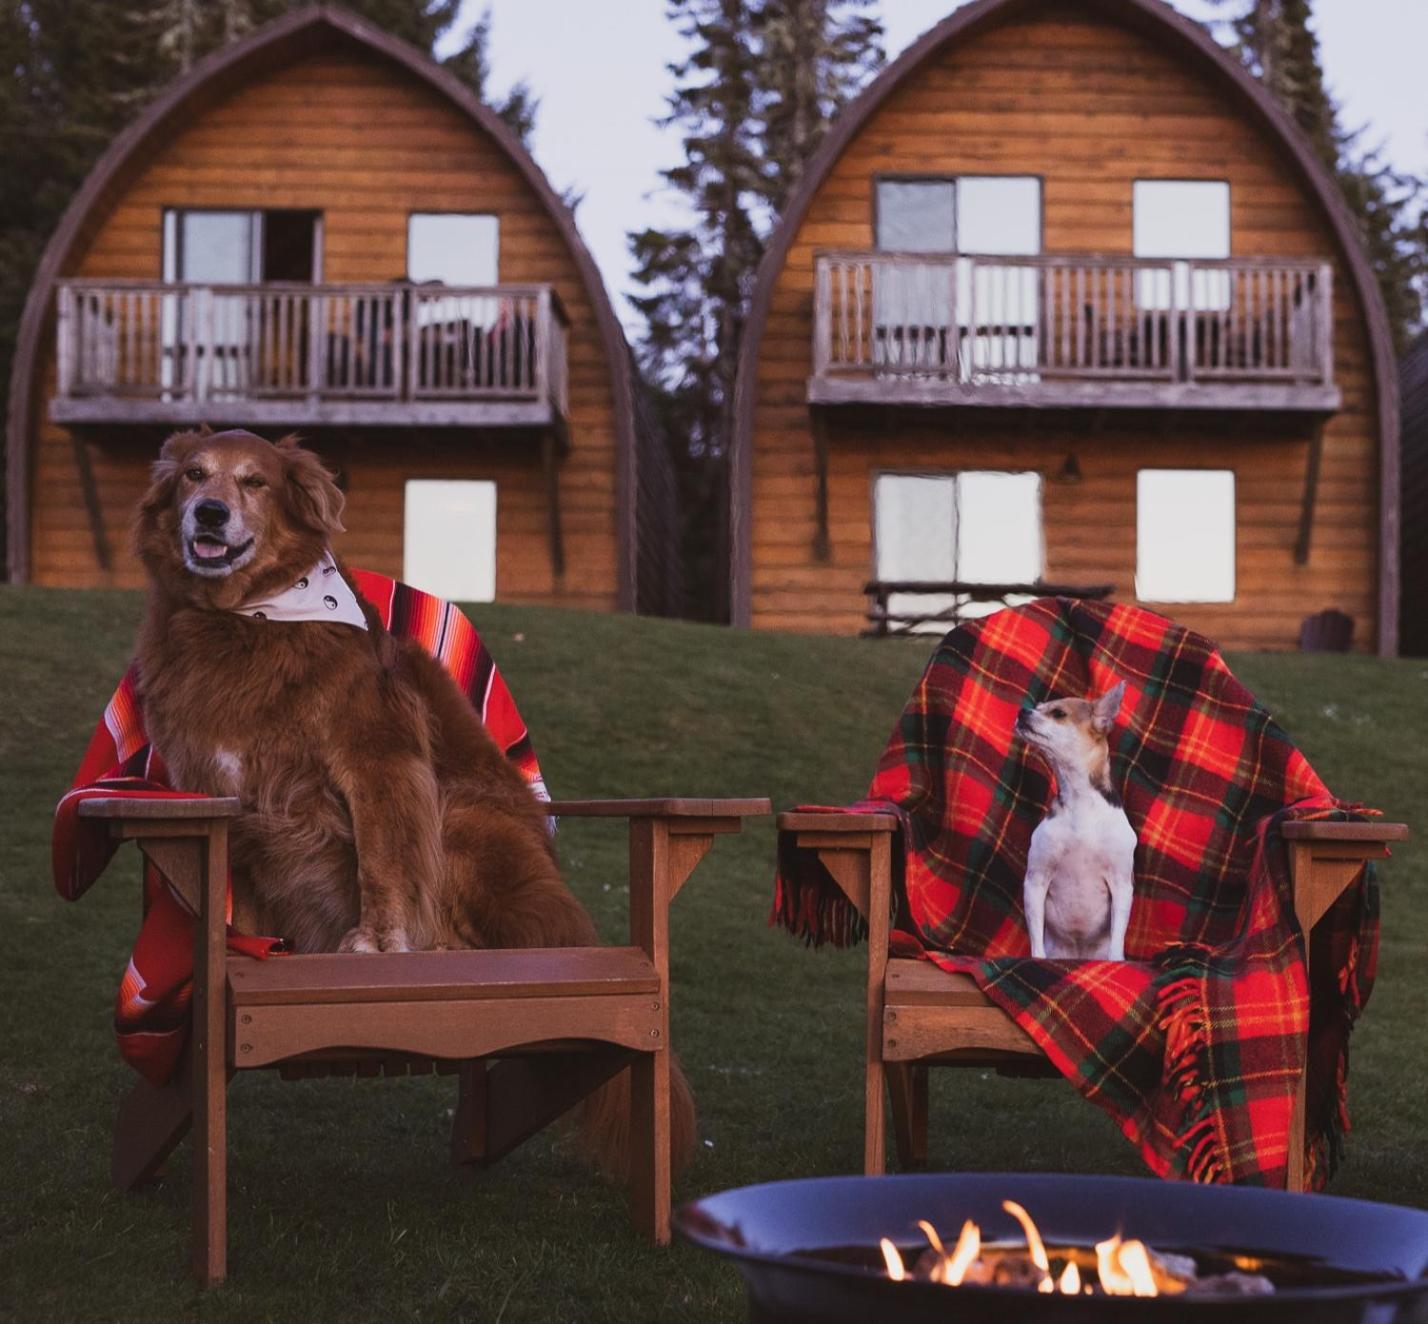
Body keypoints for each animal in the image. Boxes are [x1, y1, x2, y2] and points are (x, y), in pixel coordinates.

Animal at [132, 428, 696, 1176]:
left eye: (254, 482)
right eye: (195, 475)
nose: (211, 513)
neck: (244, 620)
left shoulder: (380, 758)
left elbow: (382, 859)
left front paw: (377, 943)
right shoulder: (225, 795)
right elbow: (240, 894)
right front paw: (251, 952)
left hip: (460, 817)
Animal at [1016, 682, 1136, 965]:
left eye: (1058, 713)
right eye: (1038, 706)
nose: (1022, 711)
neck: (1080, 802)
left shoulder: (1122, 886)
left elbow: (1118, 938)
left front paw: (1116, 962)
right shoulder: (1035, 881)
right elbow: (1036, 938)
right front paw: (1037, 959)